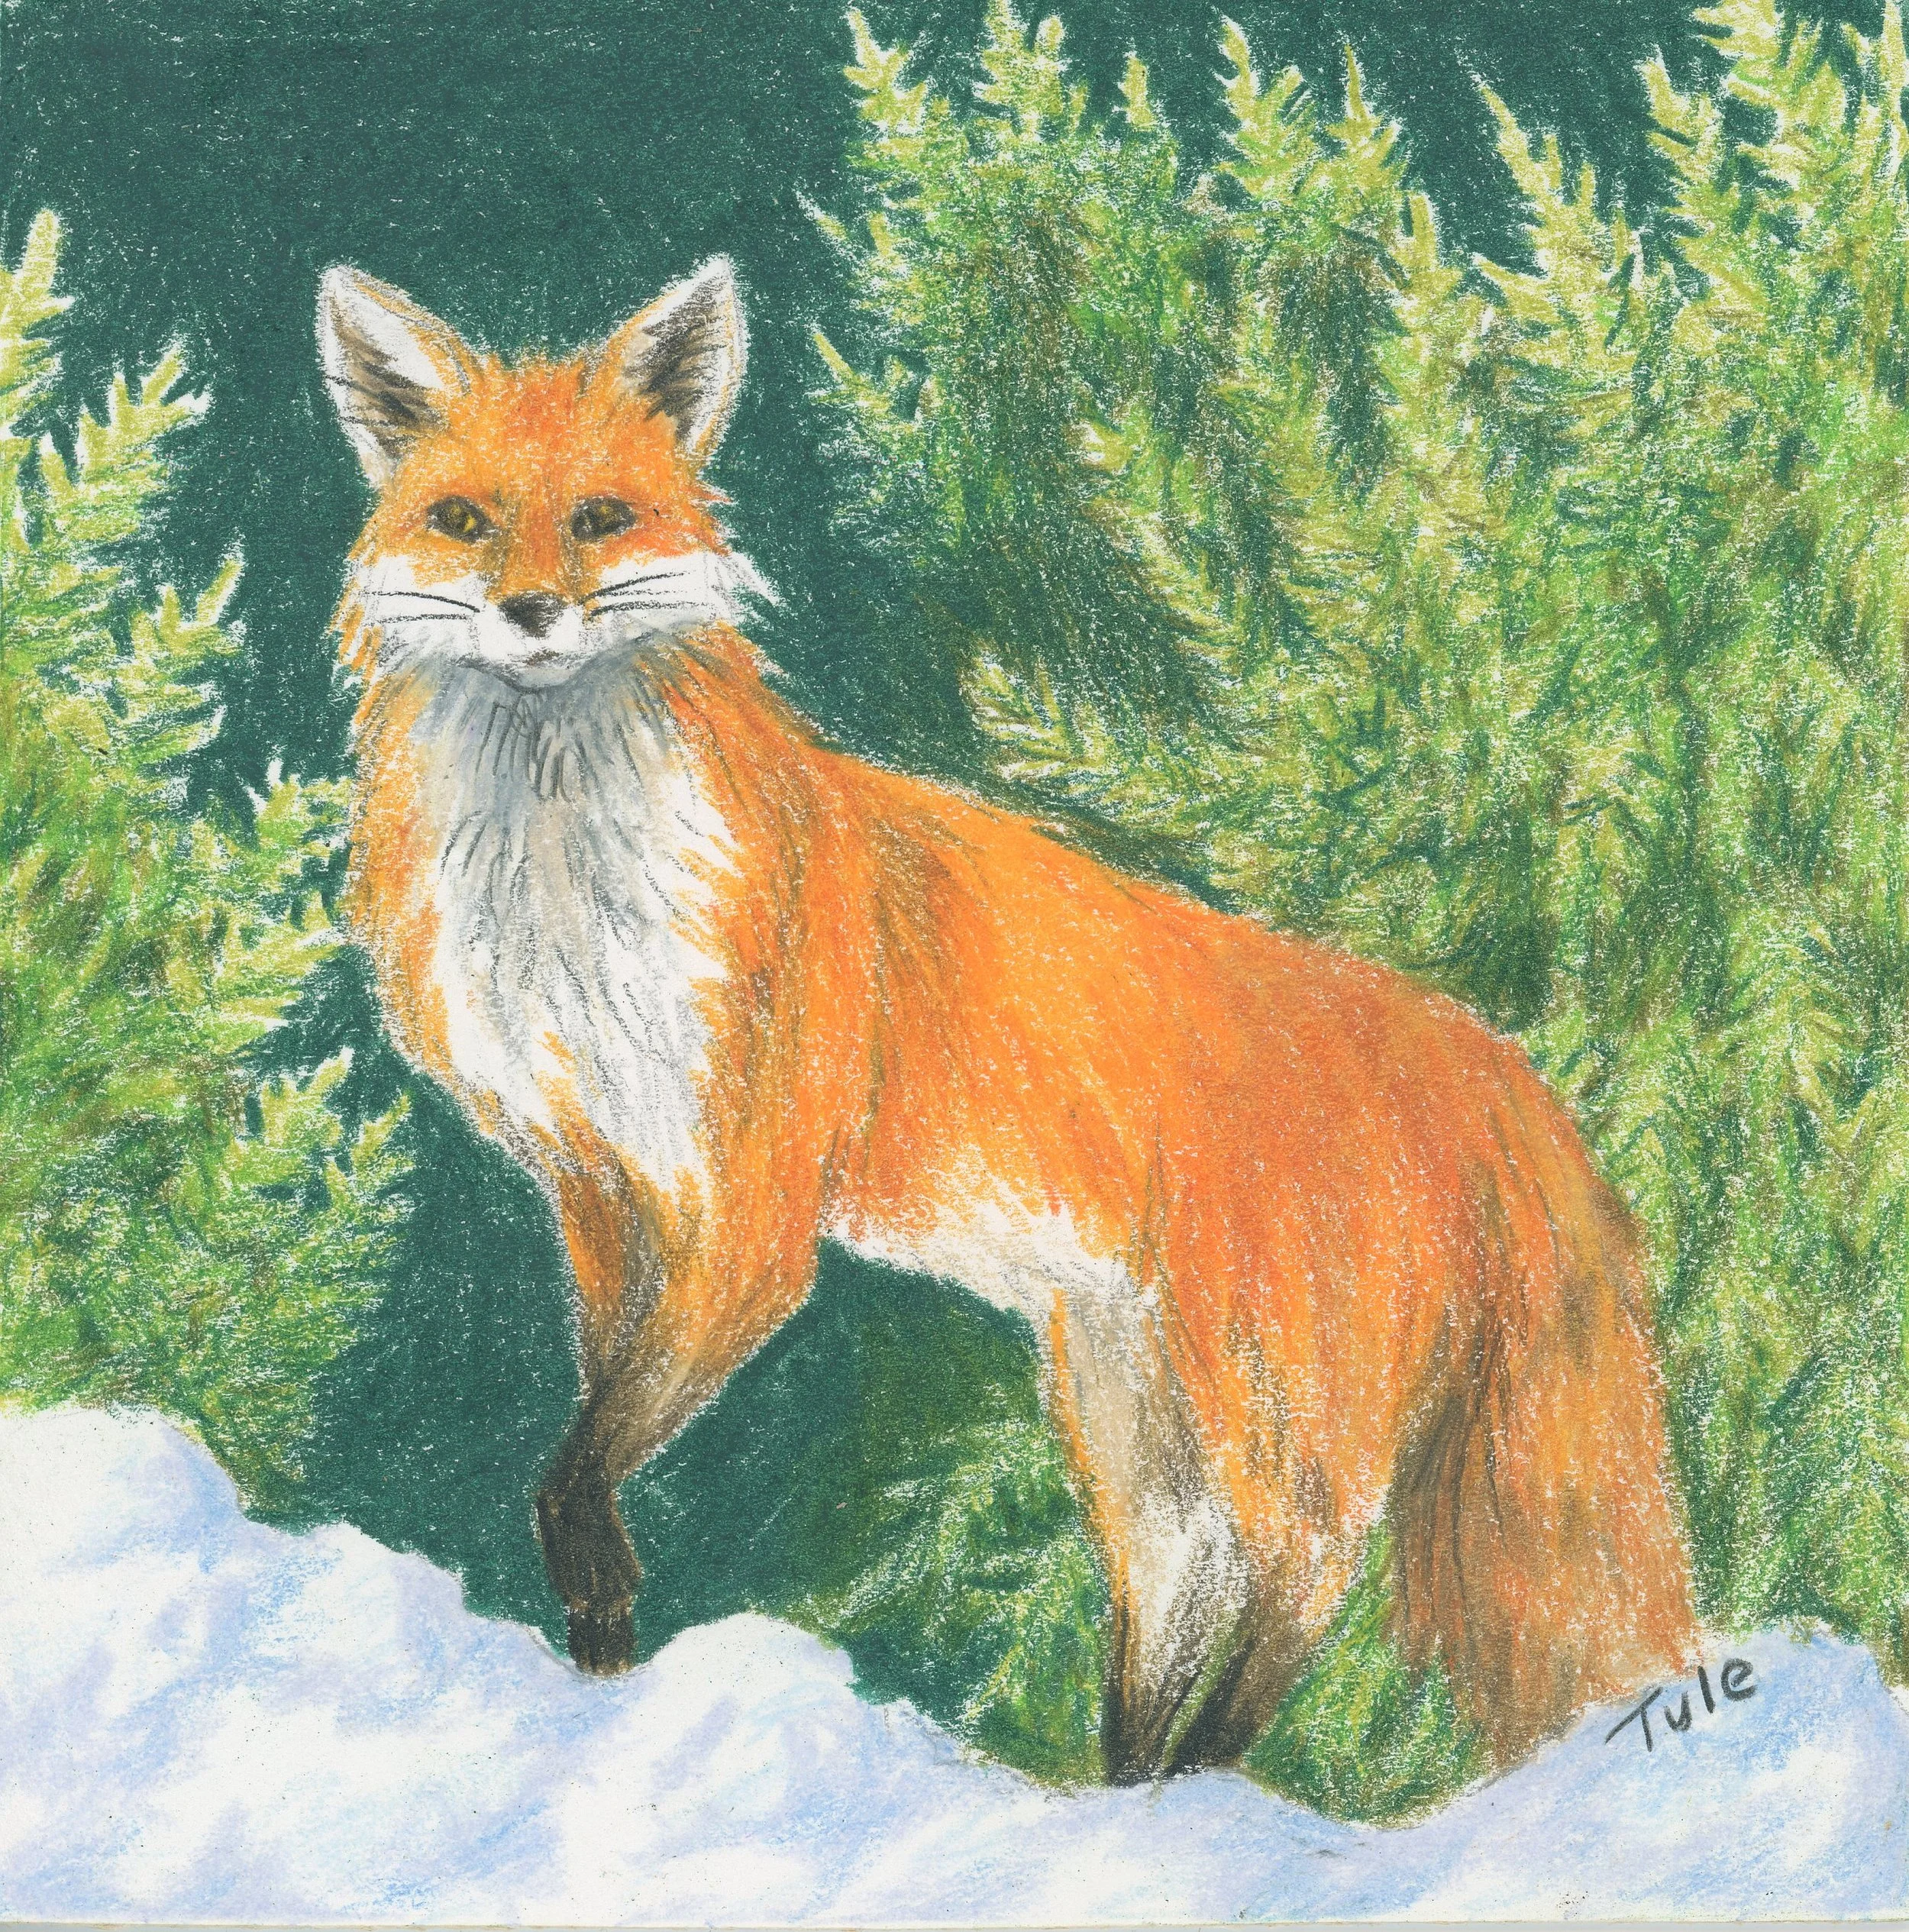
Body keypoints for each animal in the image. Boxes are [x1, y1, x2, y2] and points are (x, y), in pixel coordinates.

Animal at [317, 255, 1698, 1784]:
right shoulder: (602, 1194)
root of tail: (1479, 1047)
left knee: (1310, 1572)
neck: (568, 900)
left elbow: (580, 1463)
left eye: (599, 519)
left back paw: (1204, 1785)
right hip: (1134, 1417)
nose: (529, 613)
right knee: (1182, 1600)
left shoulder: (753, 1219)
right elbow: (582, 1453)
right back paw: (1127, 1797)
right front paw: (602, 1656)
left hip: (1268, 1387)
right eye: (463, 519)